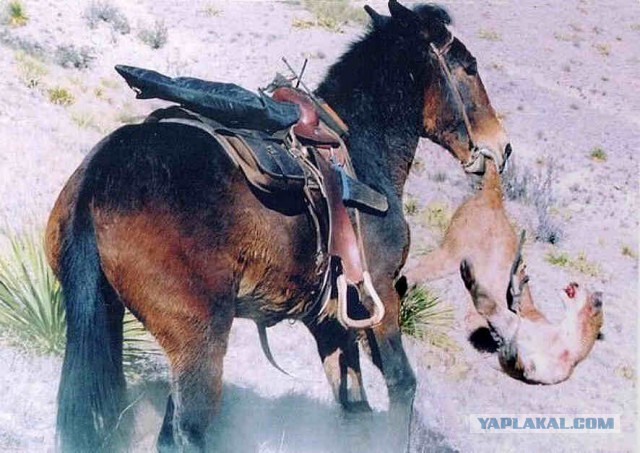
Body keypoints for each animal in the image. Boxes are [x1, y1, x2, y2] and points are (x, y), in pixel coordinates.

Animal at [45, 1, 510, 451]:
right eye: (468, 67)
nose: (502, 146)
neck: (362, 149)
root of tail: (100, 174)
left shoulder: (331, 322)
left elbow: (354, 405)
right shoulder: (378, 296)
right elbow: (401, 383)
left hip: (108, 315)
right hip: (199, 339)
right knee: (186, 431)